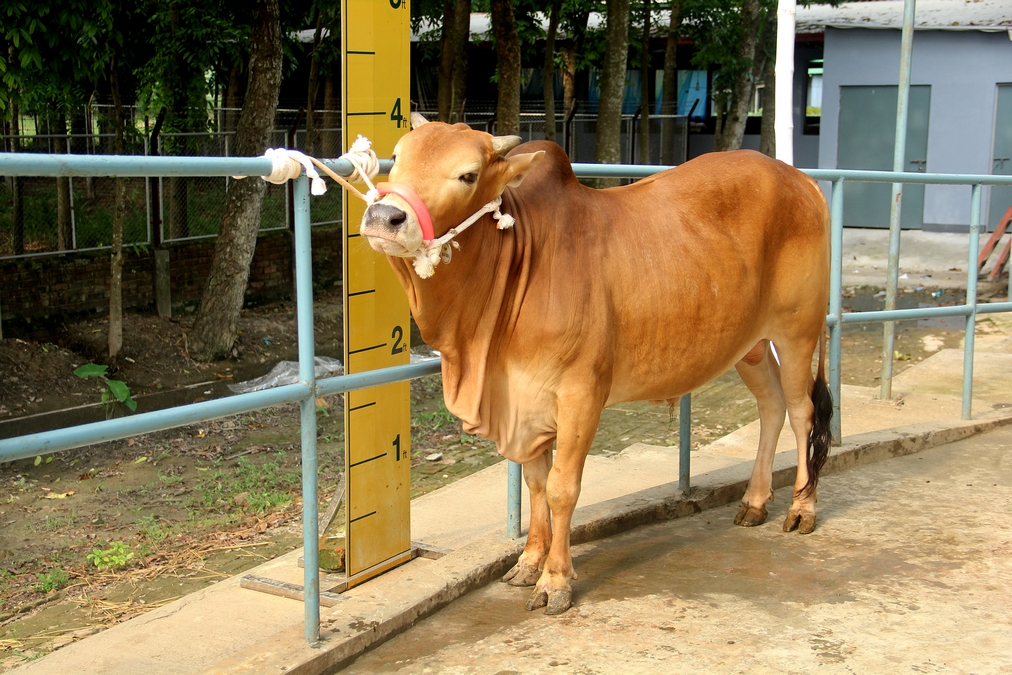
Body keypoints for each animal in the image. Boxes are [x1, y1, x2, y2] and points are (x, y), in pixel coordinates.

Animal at [359, 114, 832, 616]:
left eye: (468, 175)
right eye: (399, 156)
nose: (384, 217)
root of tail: (800, 179)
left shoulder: (581, 394)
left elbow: (562, 488)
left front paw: (555, 580)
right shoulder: (525, 401)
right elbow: (536, 485)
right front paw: (529, 562)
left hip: (797, 331)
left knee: (802, 412)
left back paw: (802, 508)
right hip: (750, 346)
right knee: (771, 407)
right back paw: (756, 502)